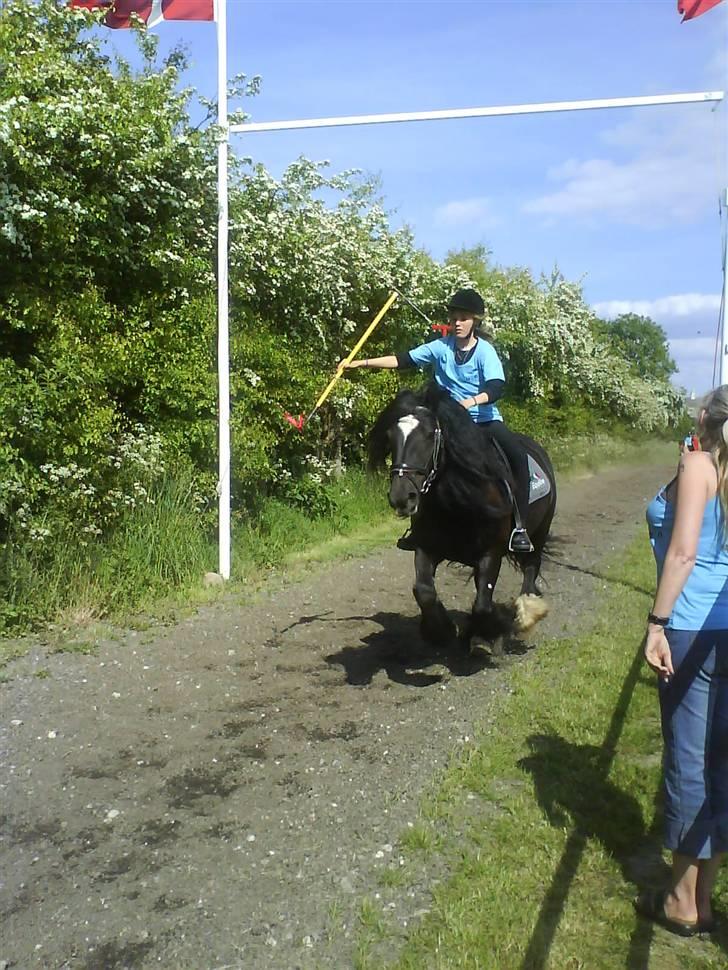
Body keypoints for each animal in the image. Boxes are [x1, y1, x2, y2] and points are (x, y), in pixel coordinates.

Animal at [370, 382, 556, 648]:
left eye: (430, 435)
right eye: (390, 436)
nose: (402, 497)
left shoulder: (491, 554)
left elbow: (482, 606)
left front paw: (490, 631)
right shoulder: (427, 547)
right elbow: (424, 591)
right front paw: (440, 631)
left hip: (539, 532)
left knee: (531, 569)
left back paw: (526, 616)